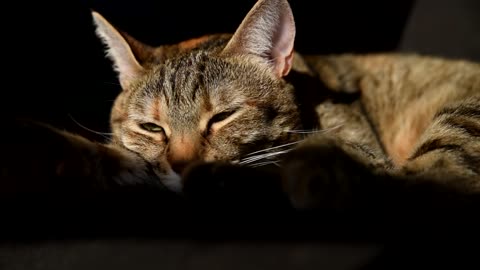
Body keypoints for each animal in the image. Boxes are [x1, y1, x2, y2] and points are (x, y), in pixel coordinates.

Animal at [4, 0, 480, 212]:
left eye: (222, 117)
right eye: (152, 127)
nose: (182, 165)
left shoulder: (364, 149)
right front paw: (50, 152)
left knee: (424, 182)